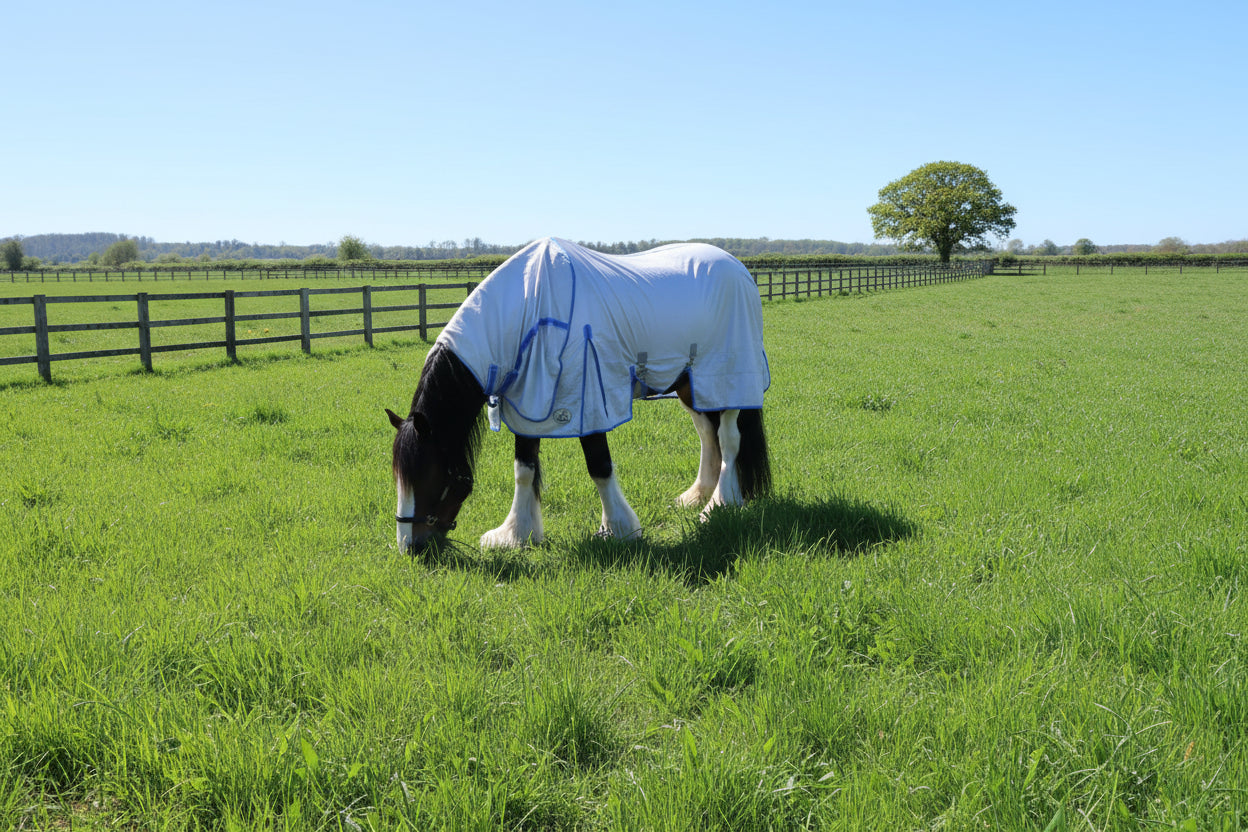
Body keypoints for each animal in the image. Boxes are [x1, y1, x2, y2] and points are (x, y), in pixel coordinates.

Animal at [387, 237, 771, 553]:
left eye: (428, 476)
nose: (410, 547)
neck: (531, 312)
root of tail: (738, 270)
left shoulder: (589, 405)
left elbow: (599, 466)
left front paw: (619, 529)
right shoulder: (529, 405)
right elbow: (524, 470)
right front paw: (516, 534)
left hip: (729, 382)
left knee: (729, 439)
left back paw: (719, 505)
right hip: (692, 387)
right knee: (708, 437)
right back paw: (695, 497)